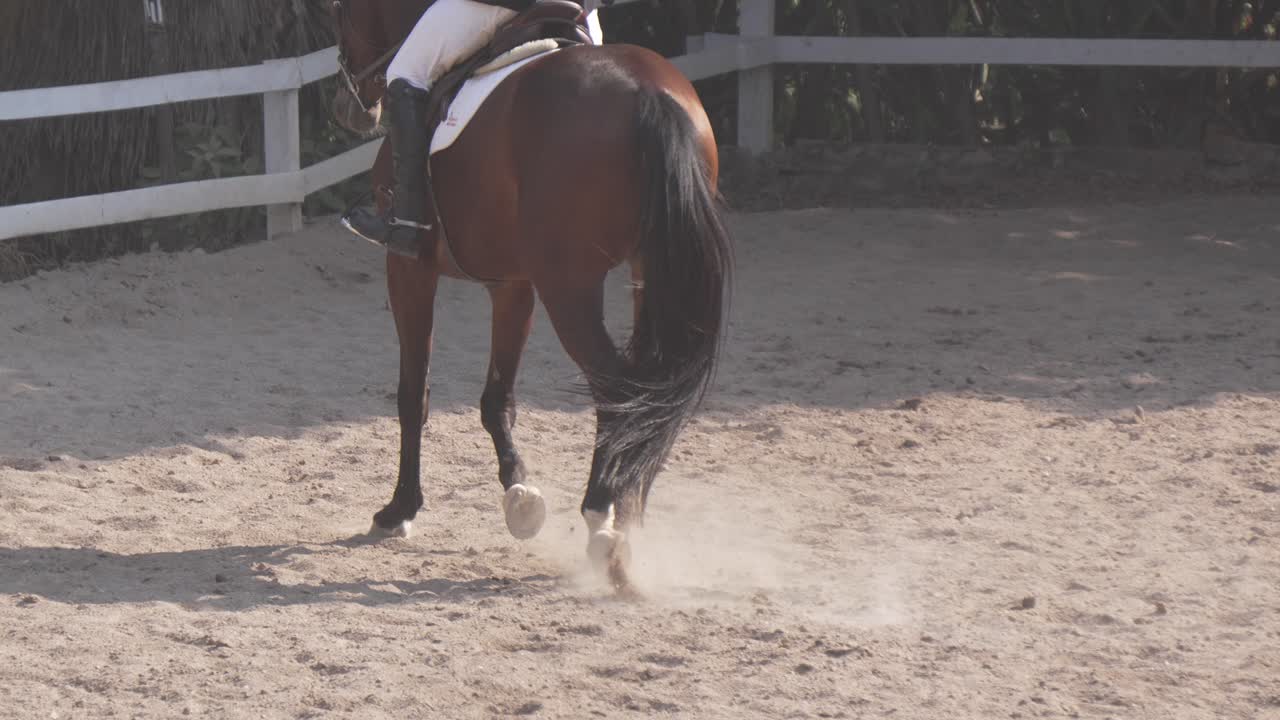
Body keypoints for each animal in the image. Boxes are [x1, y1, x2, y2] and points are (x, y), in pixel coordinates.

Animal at [327, 1, 732, 594]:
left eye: (338, 12)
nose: (348, 108)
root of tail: (647, 93)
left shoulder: (408, 268)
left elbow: (412, 395)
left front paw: (399, 510)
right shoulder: (513, 283)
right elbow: (497, 399)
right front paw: (520, 497)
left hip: (569, 287)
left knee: (618, 388)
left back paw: (602, 524)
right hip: (647, 272)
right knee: (645, 389)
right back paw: (627, 512)